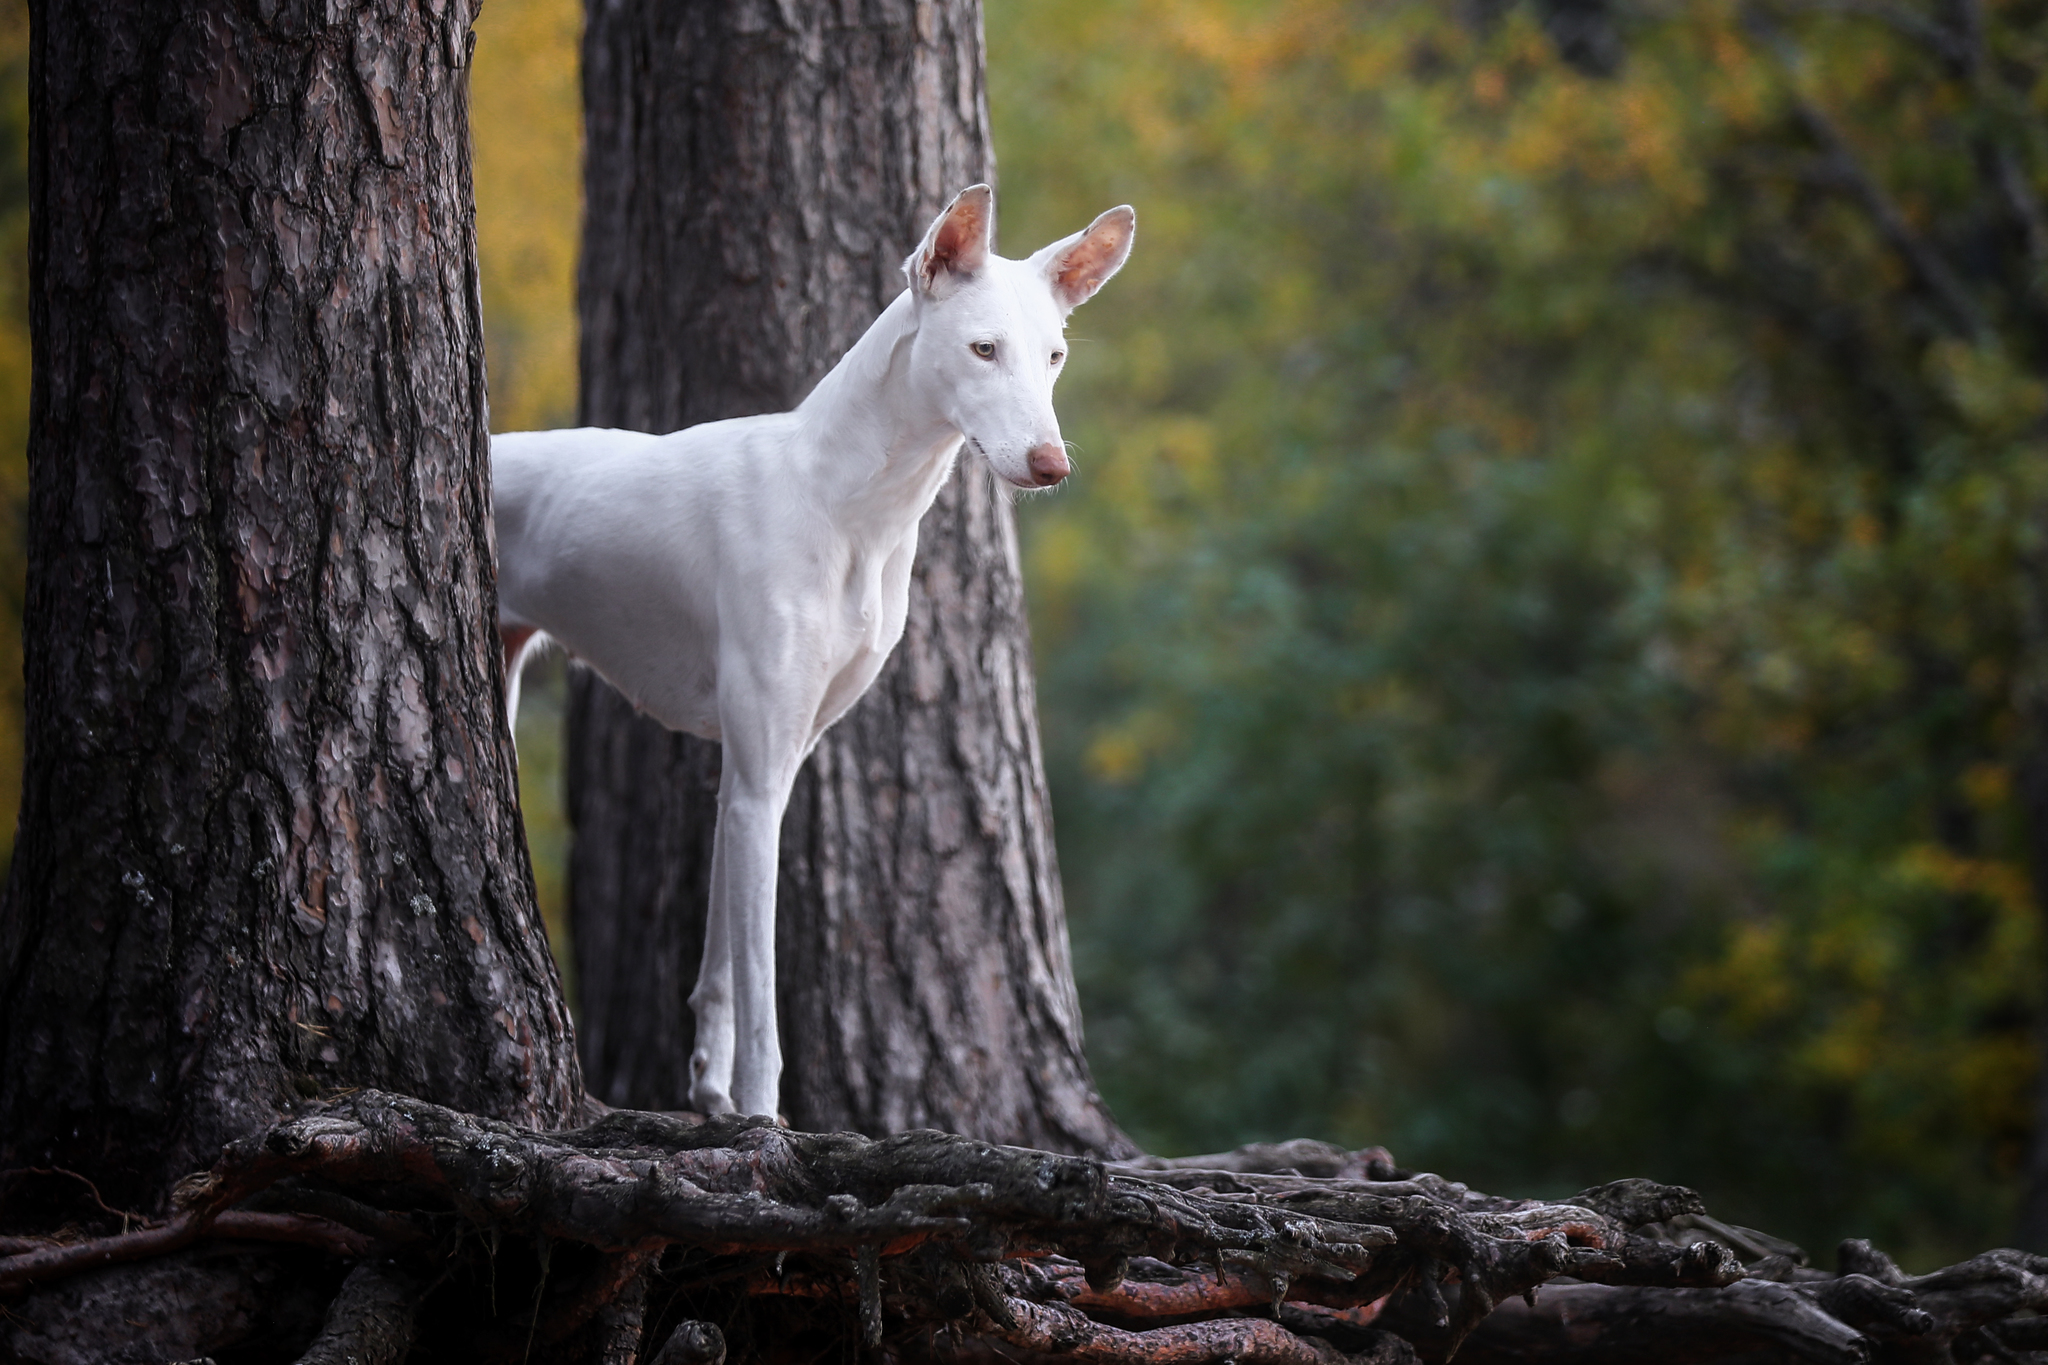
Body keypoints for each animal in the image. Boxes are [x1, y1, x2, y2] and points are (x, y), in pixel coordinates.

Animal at [491, 187, 1138, 1113]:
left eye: (1054, 356)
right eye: (983, 349)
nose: (1051, 465)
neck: (847, 503)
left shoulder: (760, 768)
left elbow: (722, 961)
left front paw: (711, 1090)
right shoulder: (761, 776)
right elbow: (763, 987)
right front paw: (763, 1115)